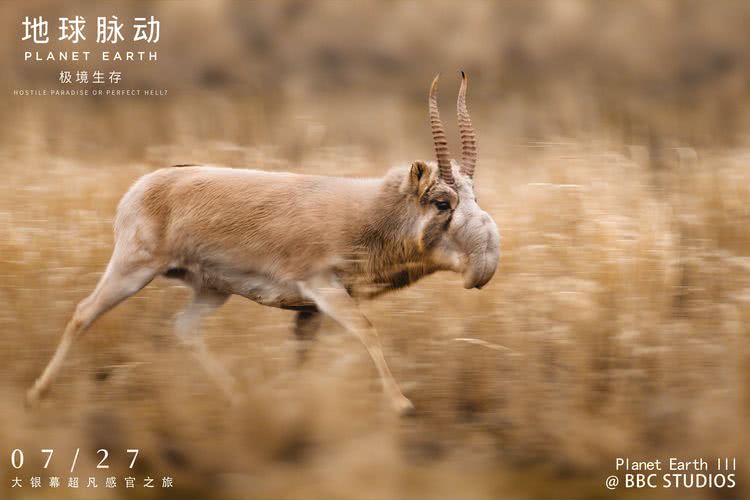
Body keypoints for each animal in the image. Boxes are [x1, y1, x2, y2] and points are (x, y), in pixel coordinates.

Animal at [27, 71, 500, 414]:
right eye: (442, 202)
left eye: (474, 196)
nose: (485, 264)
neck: (369, 211)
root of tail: (142, 186)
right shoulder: (323, 288)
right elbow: (367, 331)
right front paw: (402, 404)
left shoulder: (310, 310)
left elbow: (302, 355)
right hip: (133, 268)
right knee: (83, 313)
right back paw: (38, 393)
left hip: (211, 289)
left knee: (184, 329)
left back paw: (236, 396)